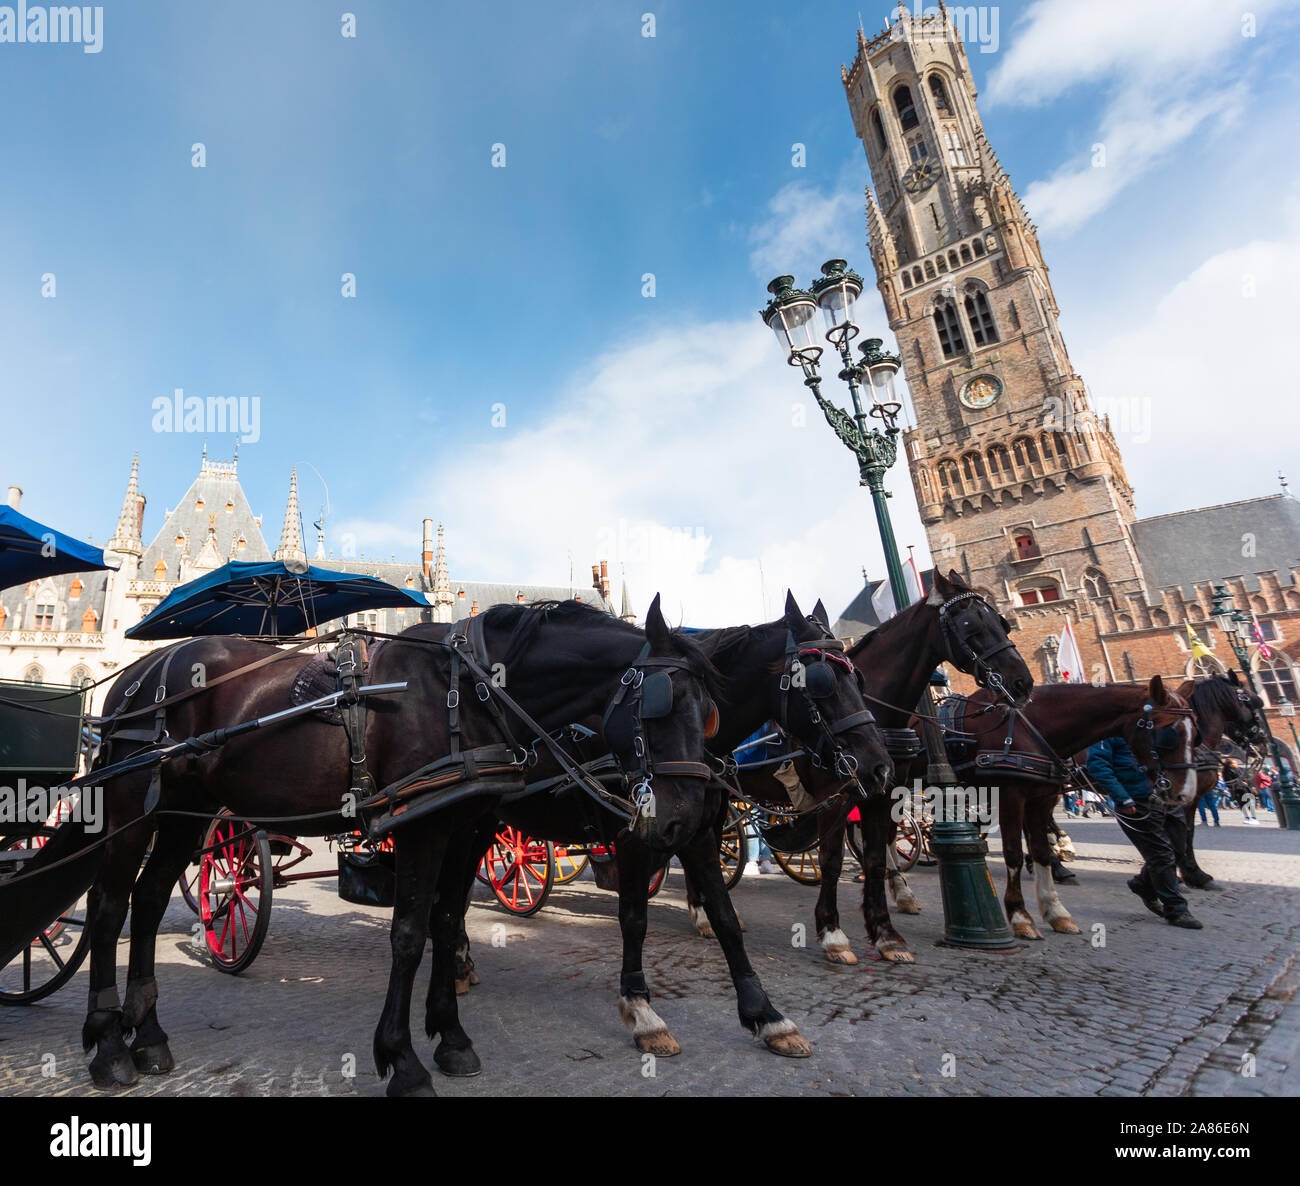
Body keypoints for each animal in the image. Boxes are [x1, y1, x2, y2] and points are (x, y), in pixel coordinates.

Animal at [74, 595, 723, 1096]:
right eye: (660, 704)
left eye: (711, 714)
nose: (684, 823)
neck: (472, 691)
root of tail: (141, 670)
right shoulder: (422, 829)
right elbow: (409, 935)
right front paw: (402, 1060)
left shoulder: (466, 827)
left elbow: (446, 921)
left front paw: (451, 1037)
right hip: (133, 807)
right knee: (109, 905)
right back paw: (109, 1046)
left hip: (185, 812)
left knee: (148, 901)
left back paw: (148, 1036)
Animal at [451, 592, 895, 1060]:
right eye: (823, 681)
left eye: (857, 677)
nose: (881, 767)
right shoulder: (633, 837)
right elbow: (634, 919)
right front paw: (642, 1011)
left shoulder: (697, 832)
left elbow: (725, 916)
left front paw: (766, 1014)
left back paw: (462, 960)